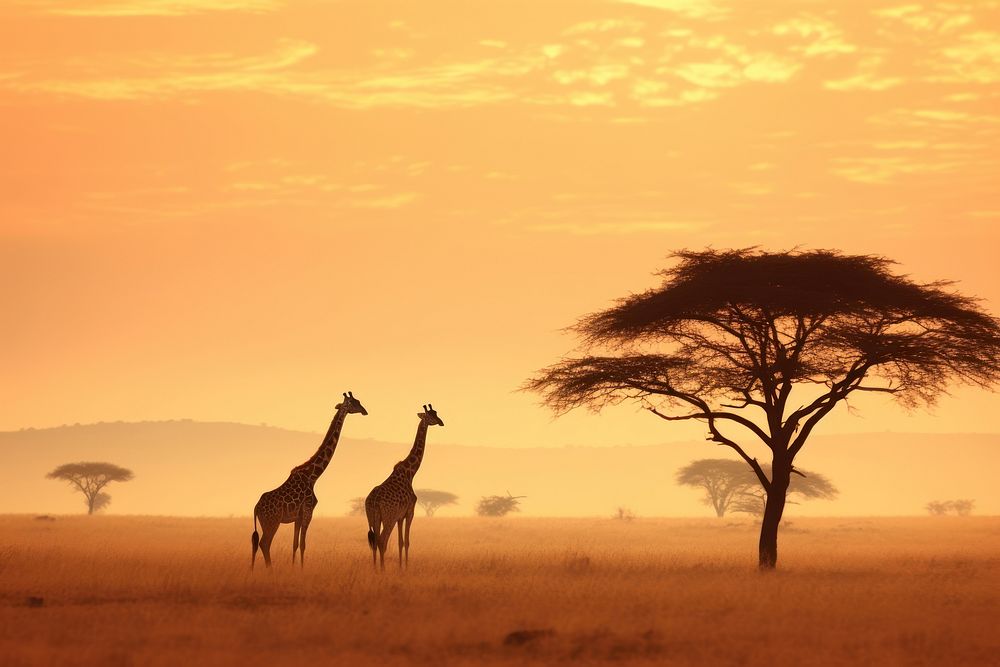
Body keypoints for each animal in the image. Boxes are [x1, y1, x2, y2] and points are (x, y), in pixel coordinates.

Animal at [252, 392, 370, 568]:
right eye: (355, 402)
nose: (365, 411)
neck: (313, 476)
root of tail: (256, 508)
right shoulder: (308, 510)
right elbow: (303, 544)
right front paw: (301, 569)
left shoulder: (298, 516)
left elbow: (295, 544)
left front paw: (293, 567)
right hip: (272, 522)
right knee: (264, 543)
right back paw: (270, 570)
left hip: (266, 522)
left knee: (256, 544)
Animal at [364, 404, 442, 572]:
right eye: (430, 416)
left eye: (436, 413)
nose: (441, 422)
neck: (410, 472)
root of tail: (373, 501)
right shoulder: (409, 512)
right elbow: (407, 541)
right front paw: (406, 568)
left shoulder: (400, 516)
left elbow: (400, 542)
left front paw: (401, 567)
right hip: (388, 518)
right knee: (382, 540)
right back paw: (383, 570)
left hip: (372, 518)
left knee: (374, 541)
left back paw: (375, 569)